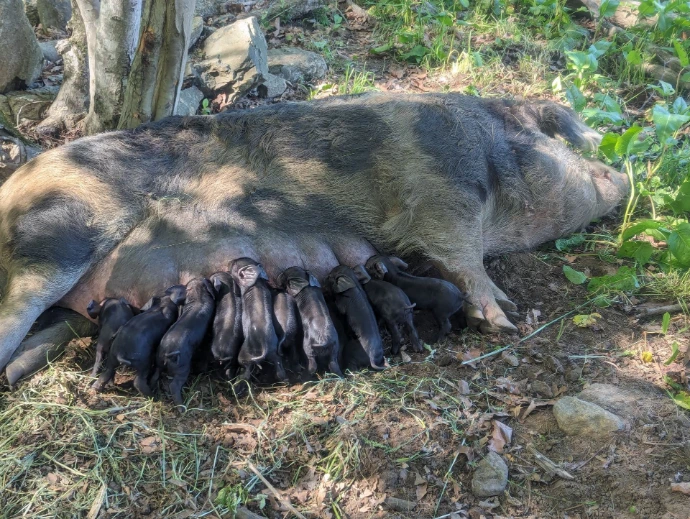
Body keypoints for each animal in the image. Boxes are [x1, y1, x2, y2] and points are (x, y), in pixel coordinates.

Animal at [0, 93, 629, 380]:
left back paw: (14, 374)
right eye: (551, 141)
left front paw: (504, 313)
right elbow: (462, 257)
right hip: (57, 234)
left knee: (46, 332)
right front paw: (504, 318)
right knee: (16, 306)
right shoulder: (441, 197)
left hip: (75, 303)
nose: (621, 174)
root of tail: (14, 184)